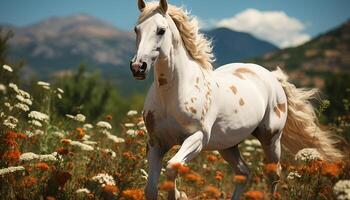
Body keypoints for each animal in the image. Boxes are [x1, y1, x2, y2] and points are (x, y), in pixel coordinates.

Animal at [129, 0, 342, 199]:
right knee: (244, 172)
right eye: (136, 29)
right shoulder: (156, 143)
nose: (138, 66)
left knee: (274, 174)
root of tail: (273, 78)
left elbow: (173, 167)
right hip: (228, 145)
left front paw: (180, 194)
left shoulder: (197, 138)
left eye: (161, 30)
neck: (172, 93)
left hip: (271, 138)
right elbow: (150, 189)